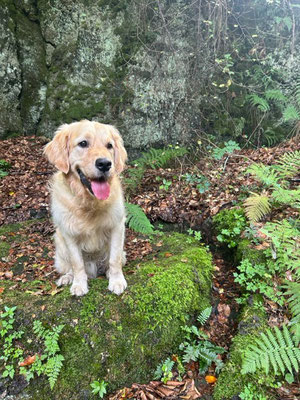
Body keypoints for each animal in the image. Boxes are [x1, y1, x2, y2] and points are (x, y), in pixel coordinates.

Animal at [44, 120, 127, 296]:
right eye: (83, 143)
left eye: (109, 145)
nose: (105, 164)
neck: (89, 201)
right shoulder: (68, 233)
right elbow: (77, 263)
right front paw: (79, 284)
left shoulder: (117, 226)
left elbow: (114, 258)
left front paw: (116, 280)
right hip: (59, 244)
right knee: (69, 267)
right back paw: (67, 278)